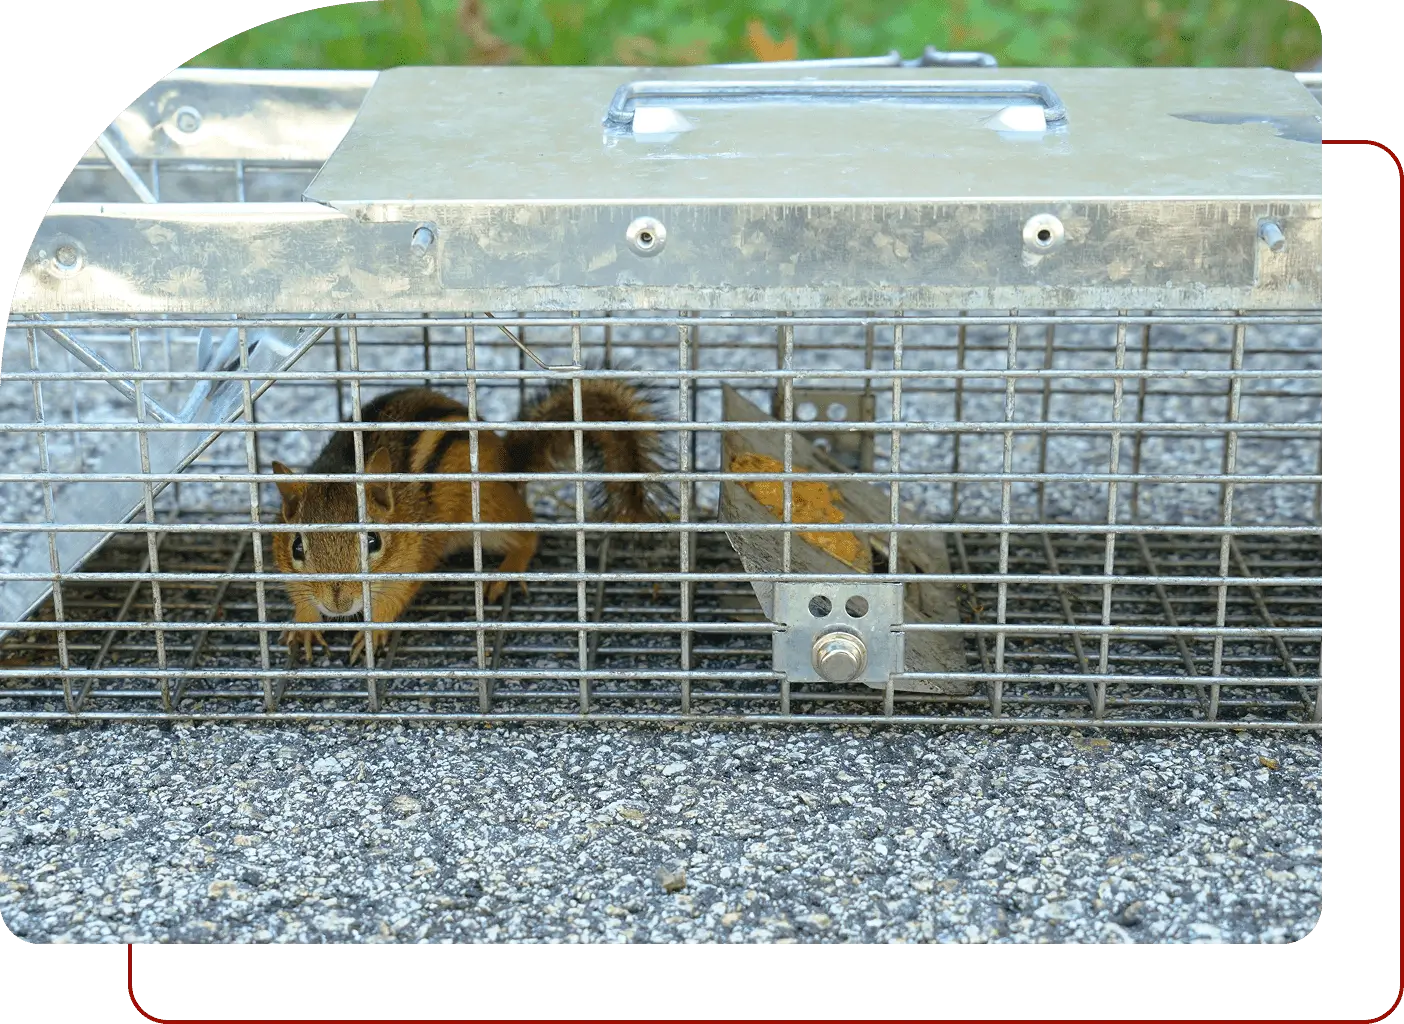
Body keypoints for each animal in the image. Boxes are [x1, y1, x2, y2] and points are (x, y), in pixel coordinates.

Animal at [270, 381, 666, 665]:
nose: (338, 605)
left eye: (373, 542)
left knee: (529, 530)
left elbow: (396, 596)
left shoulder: (414, 558)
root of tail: (508, 464)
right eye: (297, 547)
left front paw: (373, 631)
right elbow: (298, 592)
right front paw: (305, 624)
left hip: (489, 513)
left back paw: (505, 572)